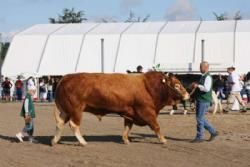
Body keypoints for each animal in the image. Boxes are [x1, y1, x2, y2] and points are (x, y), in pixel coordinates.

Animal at [52, 71, 189, 145]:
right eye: (177, 85)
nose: (187, 95)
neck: (149, 87)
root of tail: (64, 78)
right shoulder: (147, 111)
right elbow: (156, 126)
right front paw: (163, 140)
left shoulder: (130, 114)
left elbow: (127, 128)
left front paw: (126, 140)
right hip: (76, 110)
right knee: (73, 125)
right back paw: (82, 142)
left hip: (65, 110)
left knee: (59, 123)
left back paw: (54, 141)